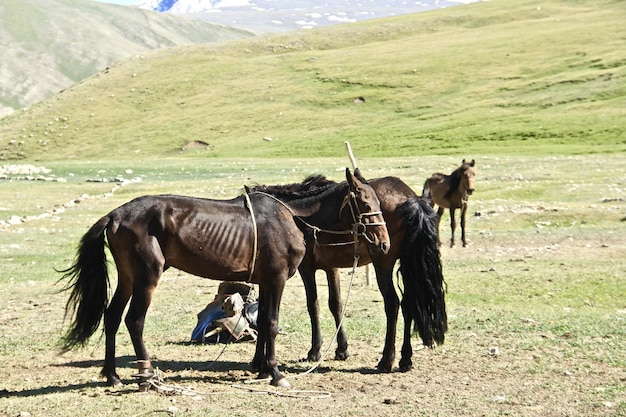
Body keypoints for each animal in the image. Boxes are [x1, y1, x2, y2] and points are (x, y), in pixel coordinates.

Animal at [59, 167, 390, 386]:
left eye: (377, 201)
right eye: (365, 202)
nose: (384, 243)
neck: (289, 217)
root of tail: (115, 215)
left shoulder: (266, 281)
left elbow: (264, 323)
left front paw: (261, 367)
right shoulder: (278, 278)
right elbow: (272, 323)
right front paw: (275, 373)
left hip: (128, 278)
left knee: (113, 316)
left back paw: (112, 375)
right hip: (146, 277)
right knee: (134, 320)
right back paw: (145, 374)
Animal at [249, 171, 444, 372]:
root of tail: (411, 198)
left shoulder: (306, 268)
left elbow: (313, 305)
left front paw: (315, 351)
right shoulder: (330, 267)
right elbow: (335, 304)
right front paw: (341, 349)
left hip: (383, 263)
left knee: (392, 303)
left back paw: (387, 359)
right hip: (408, 262)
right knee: (407, 303)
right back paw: (405, 358)